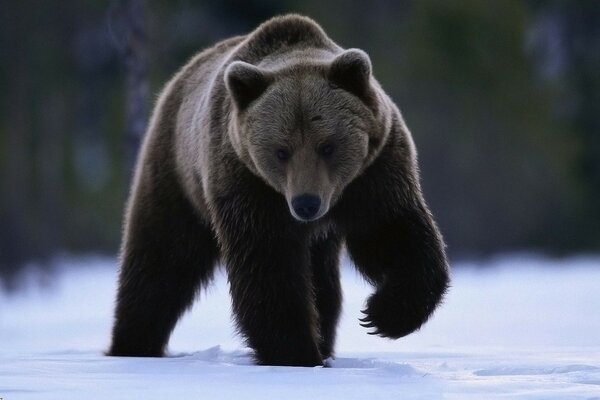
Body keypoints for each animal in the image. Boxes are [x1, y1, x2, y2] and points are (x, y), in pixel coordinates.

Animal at [108, 14, 448, 366]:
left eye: (327, 146)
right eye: (281, 151)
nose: (306, 203)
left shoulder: (374, 173)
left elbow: (392, 232)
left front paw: (382, 315)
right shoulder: (247, 182)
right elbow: (268, 264)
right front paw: (295, 352)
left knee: (323, 282)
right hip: (177, 174)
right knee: (162, 259)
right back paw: (133, 344)